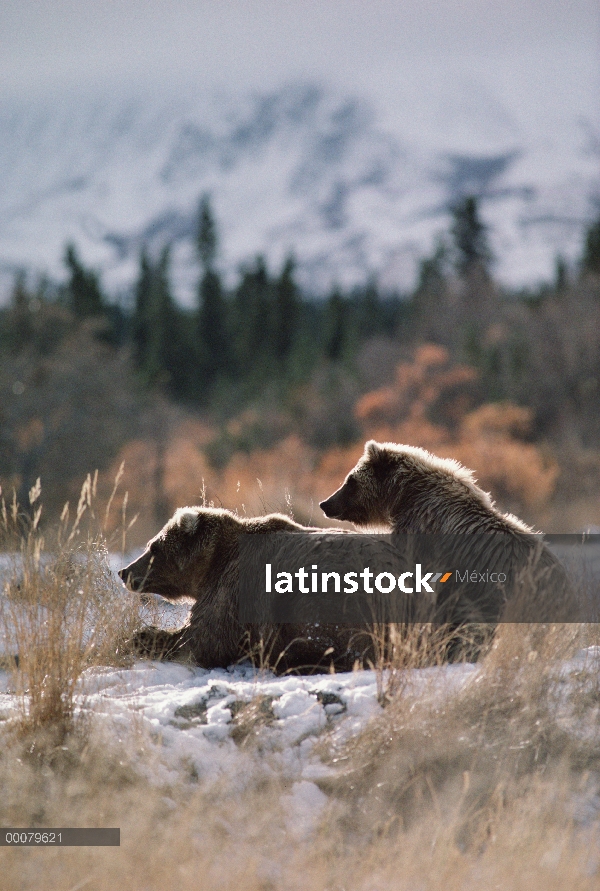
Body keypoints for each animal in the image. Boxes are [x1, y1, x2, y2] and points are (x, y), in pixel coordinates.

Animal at [117, 506, 372, 672]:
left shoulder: (234, 591)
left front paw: (142, 637)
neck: (212, 565)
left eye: (154, 547)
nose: (125, 572)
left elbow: (203, 641)